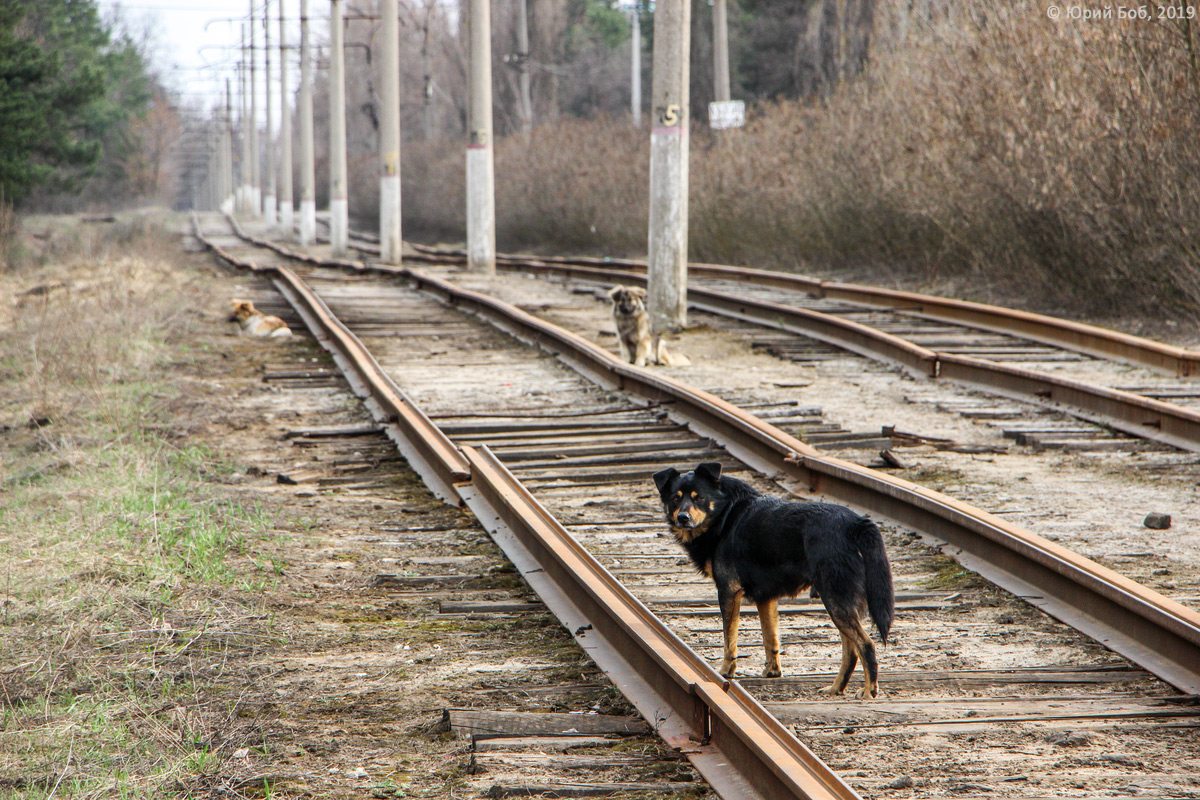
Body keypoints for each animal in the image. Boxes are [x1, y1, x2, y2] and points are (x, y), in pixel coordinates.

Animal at [652, 462, 897, 700]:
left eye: (699, 497)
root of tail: (856, 523)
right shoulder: (766, 597)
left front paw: (725, 672)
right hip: (838, 599)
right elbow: (770, 638)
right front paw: (773, 671)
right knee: (850, 650)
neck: (725, 514)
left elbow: (729, 639)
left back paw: (869, 689)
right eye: (675, 498)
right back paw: (835, 688)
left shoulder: (729, 590)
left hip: (835, 598)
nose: (683, 518)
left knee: (865, 645)